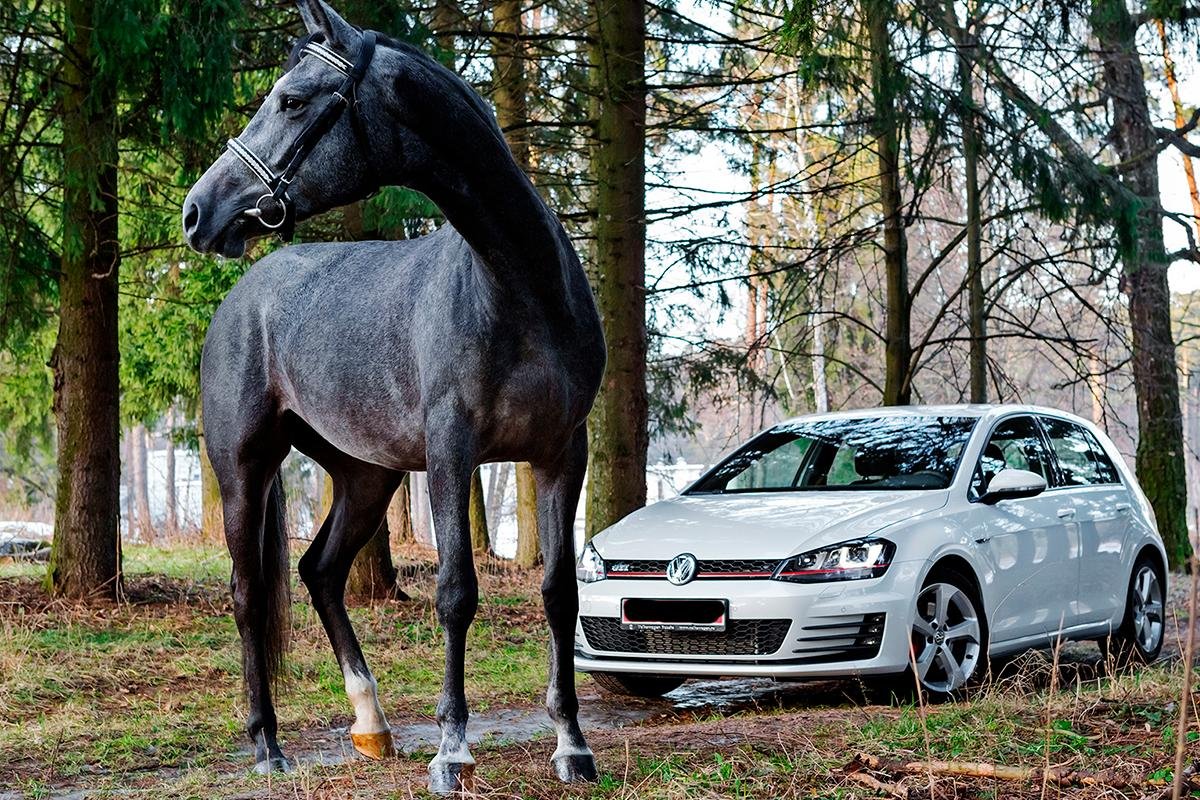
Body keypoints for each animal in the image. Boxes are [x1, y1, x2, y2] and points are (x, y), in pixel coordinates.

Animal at [181, 0, 604, 786]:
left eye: (292, 100)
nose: (198, 212)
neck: (519, 287)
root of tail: (243, 295)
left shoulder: (563, 452)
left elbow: (560, 593)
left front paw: (572, 745)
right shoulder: (451, 451)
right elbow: (456, 592)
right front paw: (452, 750)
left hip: (366, 475)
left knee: (318, 572)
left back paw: (371, 724)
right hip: (242, 470)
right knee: (248, 595)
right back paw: (268, 744)